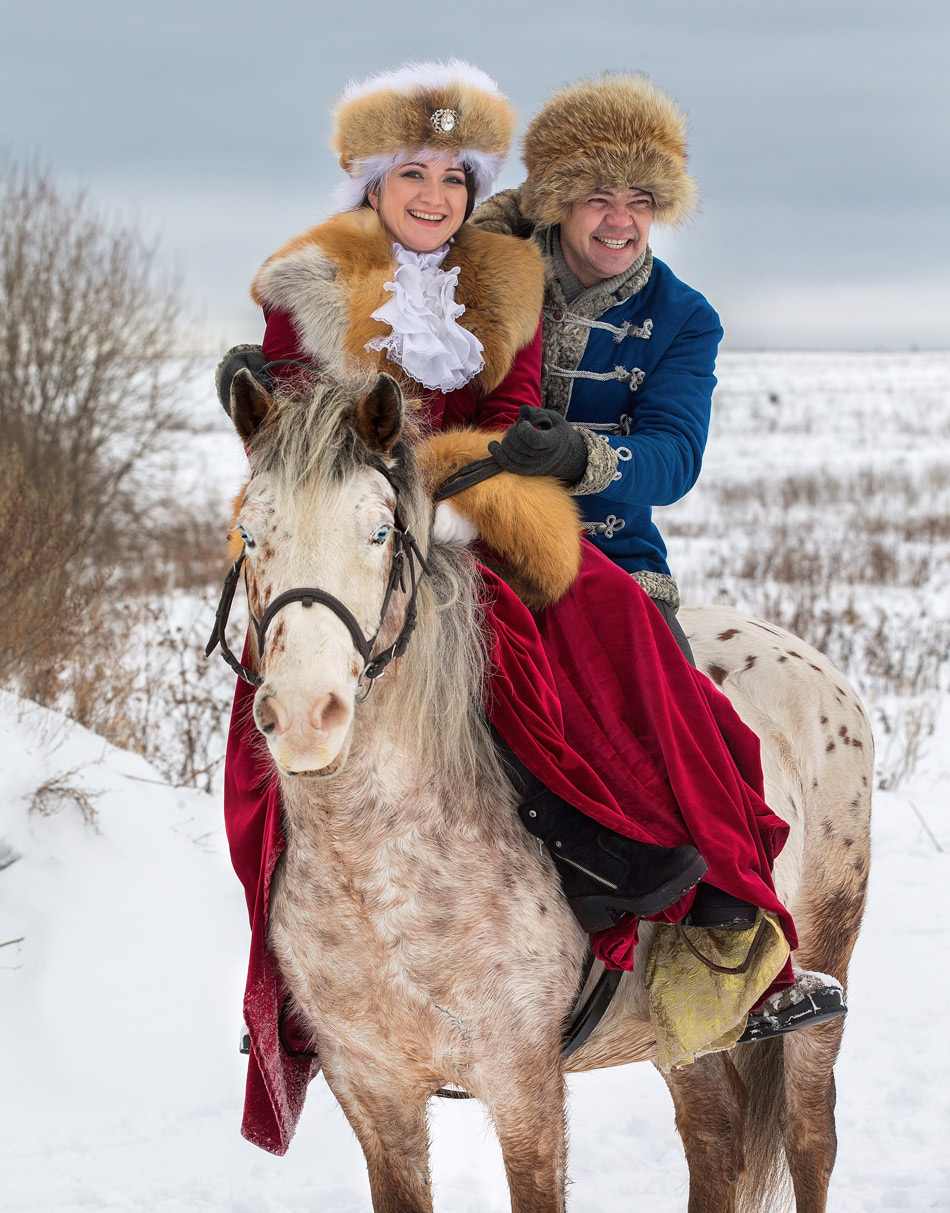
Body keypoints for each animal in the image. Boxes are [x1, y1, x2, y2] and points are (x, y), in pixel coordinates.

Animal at [224, 371, 878, 1213]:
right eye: (249, 534)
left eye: (379, 532)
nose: (307, 715)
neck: (378, 869)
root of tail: (811, 660)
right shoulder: (371, 1085)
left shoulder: (522, 1076)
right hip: (681, 1025)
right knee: (717, 1140)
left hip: (826, 960)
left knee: (810, 1139)